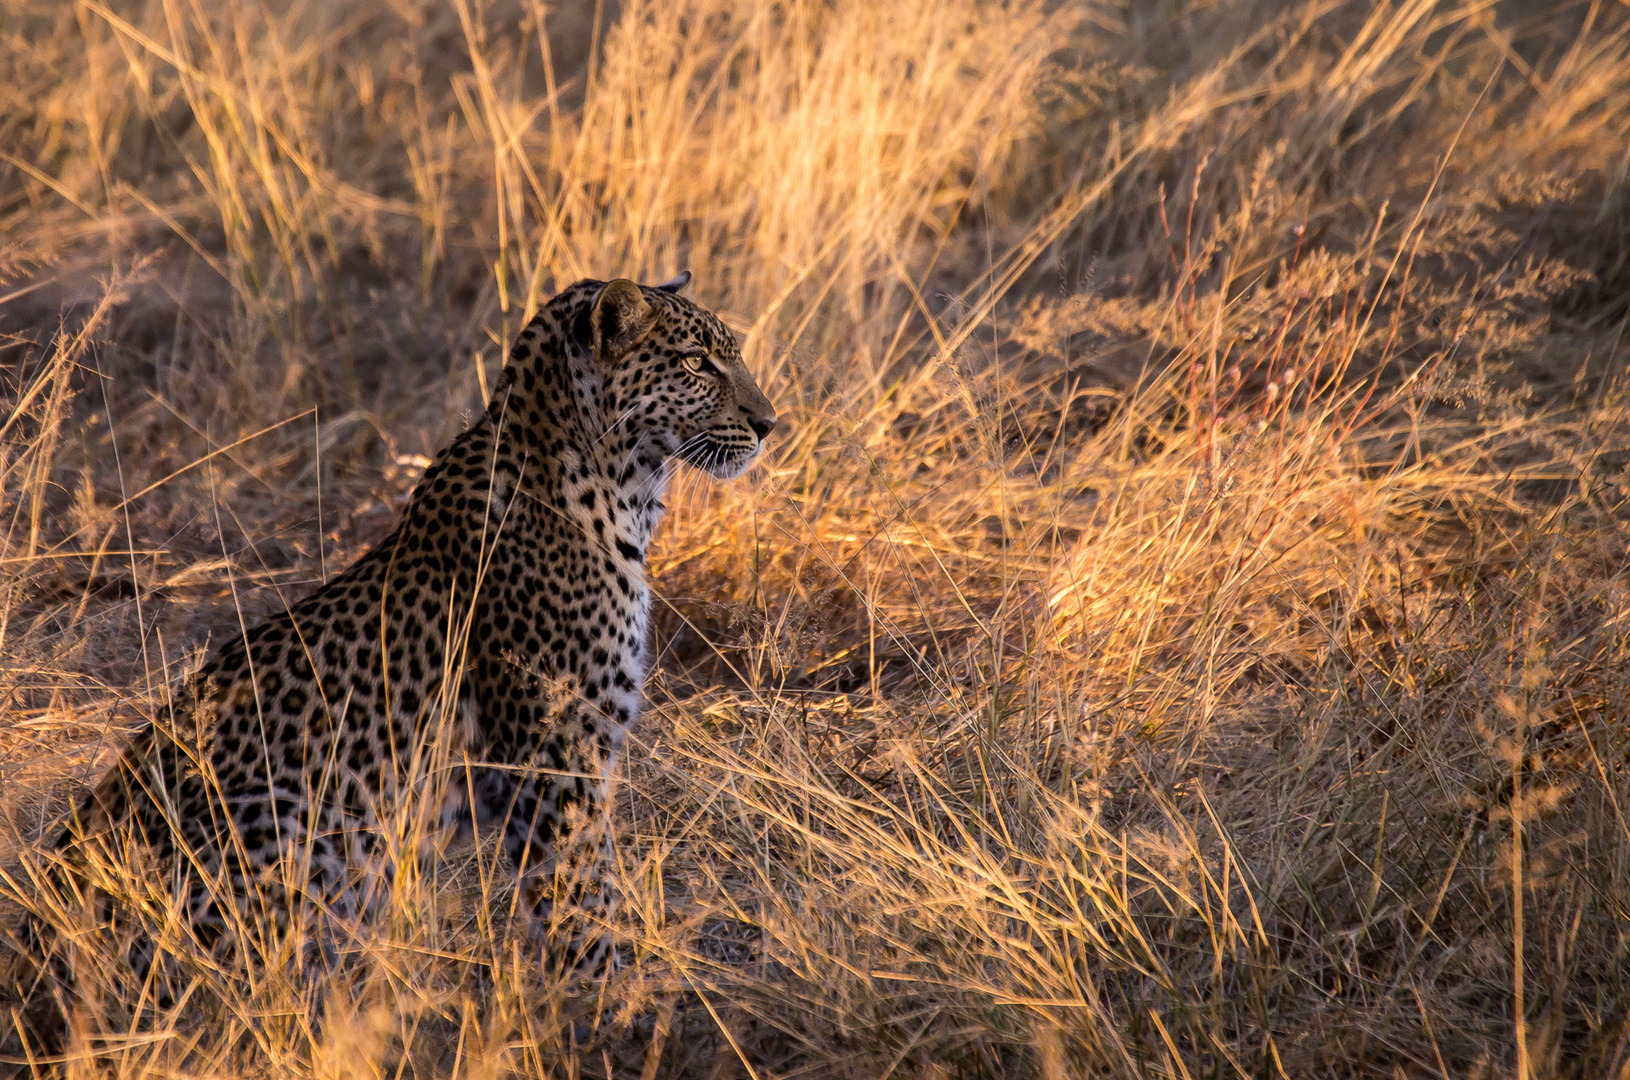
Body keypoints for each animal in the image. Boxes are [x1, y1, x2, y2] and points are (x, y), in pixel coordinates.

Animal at [3, 272, 775, 1055]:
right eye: (696, 364)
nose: (770, 423)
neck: (615, 488)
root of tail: (31, 972)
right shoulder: (560, 756)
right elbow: (582, 895)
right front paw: (615, 1005)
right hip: (298, 825)